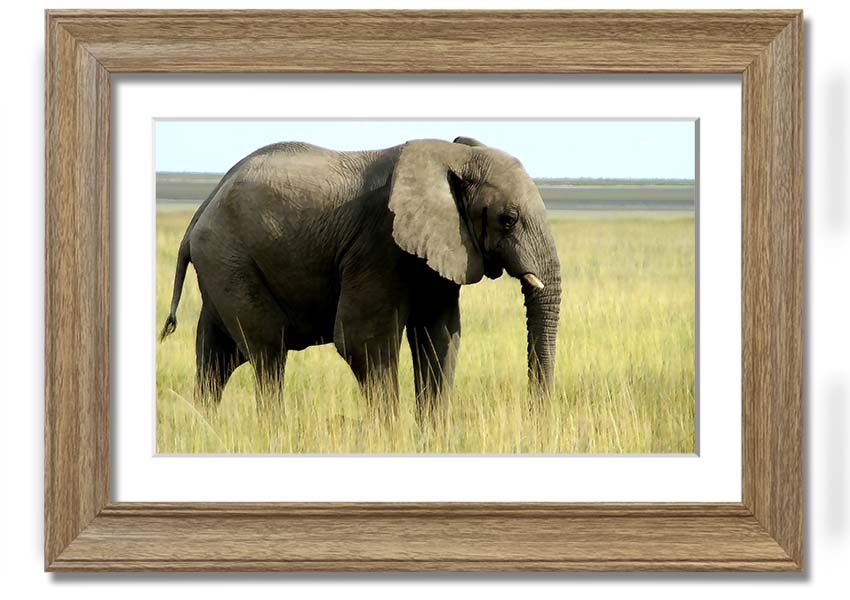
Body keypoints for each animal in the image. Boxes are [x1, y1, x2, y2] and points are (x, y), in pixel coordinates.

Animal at [159, 136, 561, 418]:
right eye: (508, 219)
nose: (534, 420)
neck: (450, 155)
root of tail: (199, 212)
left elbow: (440, 336)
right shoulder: (378, 243)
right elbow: (364, 342)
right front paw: (392, 438)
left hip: (222, 267)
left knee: (217, 357)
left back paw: (206, 429)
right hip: (231, 260)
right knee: (268, 351)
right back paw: (270, 430)